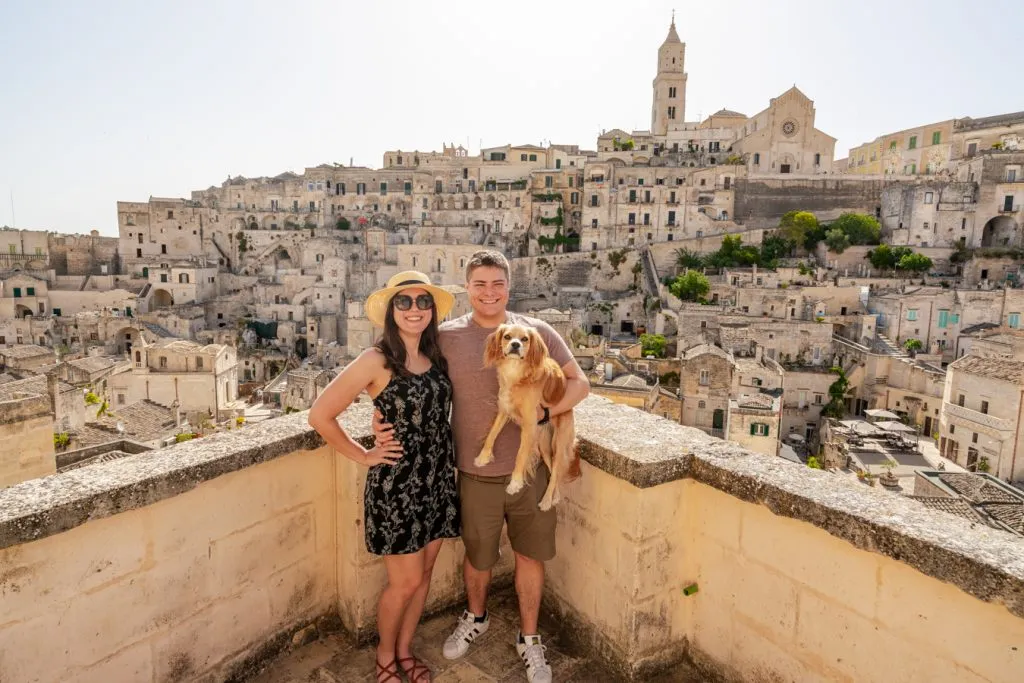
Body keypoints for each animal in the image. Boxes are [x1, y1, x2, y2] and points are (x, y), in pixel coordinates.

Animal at [475, 325, 581, 507]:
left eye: (525, 339)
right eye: (507, 336)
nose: (515, 344)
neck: (516, 371)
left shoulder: (530, 423)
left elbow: (520, 455)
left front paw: (515, 483)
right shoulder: (504, 409)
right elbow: (491, 434)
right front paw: (483, 457)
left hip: (559, 443)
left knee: (556, 471)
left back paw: (546, 501)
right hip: (544, 446)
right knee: (553, 471)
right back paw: (555, 496)